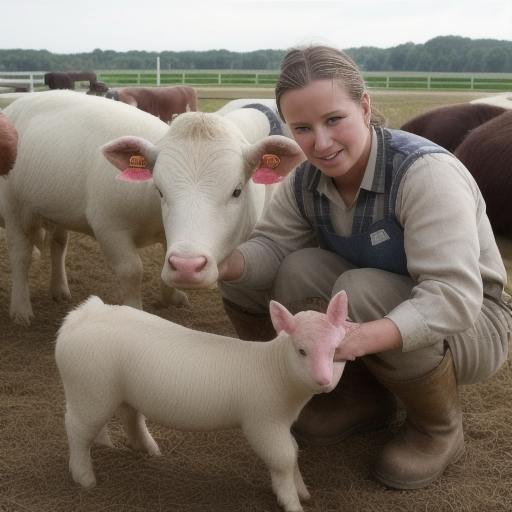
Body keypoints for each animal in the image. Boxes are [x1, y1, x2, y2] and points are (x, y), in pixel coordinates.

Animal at [57, 290, 352, 510]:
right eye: (302, 351)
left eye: (336, 350)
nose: (324, 380)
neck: (276, 371)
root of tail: (78, 317)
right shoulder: (263, 422)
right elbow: (283, 458)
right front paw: (291, 502)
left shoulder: (281, 421)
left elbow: (293, 450)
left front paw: (302, 492)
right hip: (89, 388)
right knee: (76, 429)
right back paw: (84, 477)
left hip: (112, 391)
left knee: (127, 417)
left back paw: (142, 448)